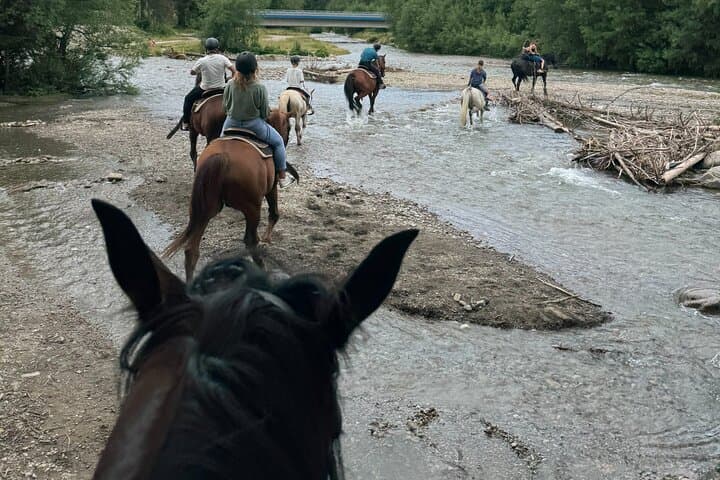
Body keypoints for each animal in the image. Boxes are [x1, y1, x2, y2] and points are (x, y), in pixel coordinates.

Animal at [163, 109, 299, 281]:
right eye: (289, 127)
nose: (285, 140)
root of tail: (223, 156)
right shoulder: (271, 188)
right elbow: (274, 213)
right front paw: (267, 239)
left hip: (205, 209)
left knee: (191, 250)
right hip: (252, 208)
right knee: (250, 240)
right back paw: (261, 268)